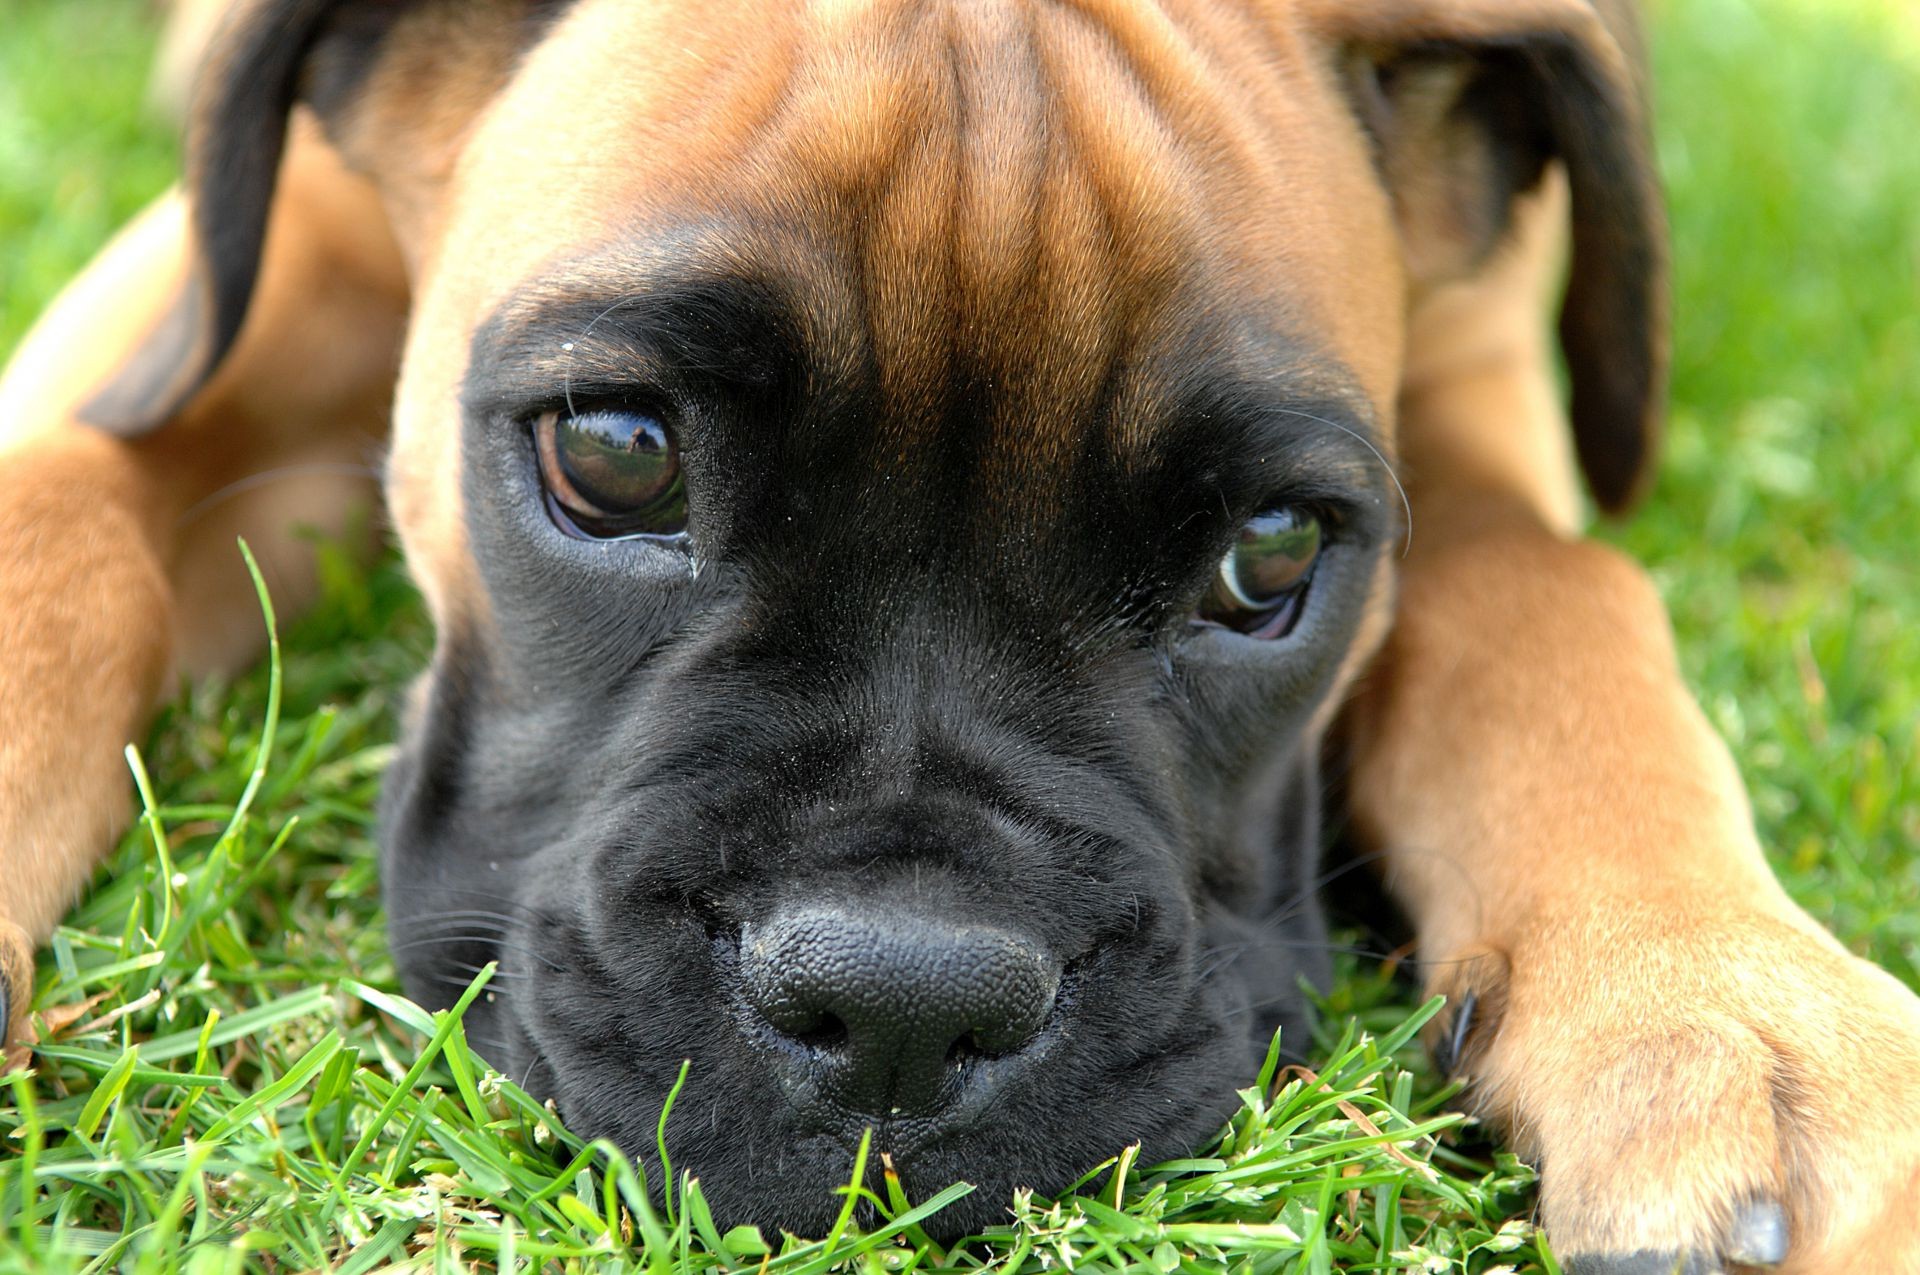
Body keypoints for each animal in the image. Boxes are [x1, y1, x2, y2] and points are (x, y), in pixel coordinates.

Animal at [3, 0, 1920, 1267]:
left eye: (1271, 559)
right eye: (614, 454)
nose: (900, 1008)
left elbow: (1553, 599)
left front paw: (1708, 1004)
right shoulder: (237, 288)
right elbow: (60, 510)